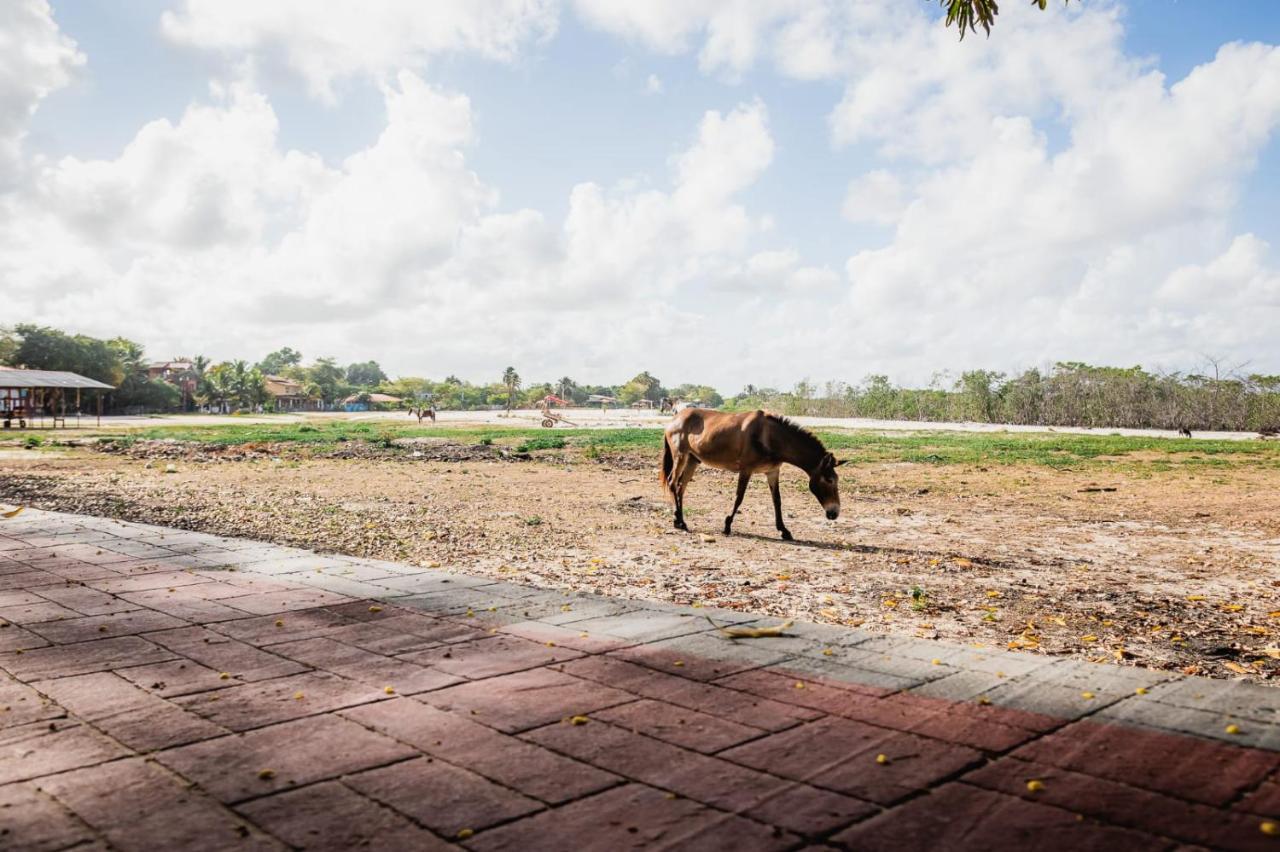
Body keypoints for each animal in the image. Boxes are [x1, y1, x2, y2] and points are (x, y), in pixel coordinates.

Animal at [660, 406, 849, 537]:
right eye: (829, 480)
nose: (834, 513)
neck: (770, 437)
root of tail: (676, 418)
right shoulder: (746, 470)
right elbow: (739, 497)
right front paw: (727, 525)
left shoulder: (772, 472)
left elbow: (777, 501)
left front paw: (784, 530)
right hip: (680, 456)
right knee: (672, 482)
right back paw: (680, 522)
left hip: (693, 460)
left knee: (680, 486)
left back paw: (679, 521)